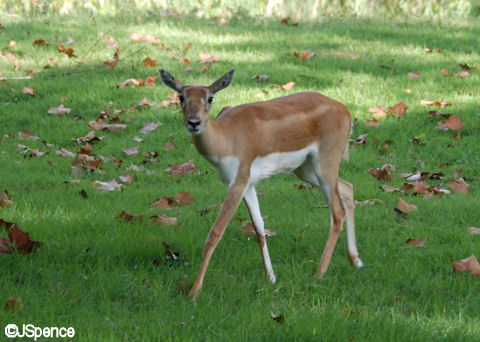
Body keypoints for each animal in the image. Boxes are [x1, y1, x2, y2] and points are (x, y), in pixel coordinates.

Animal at [159, 69, 362, 296]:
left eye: (210, 97)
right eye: (181, 97)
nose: (194, 122)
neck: (225, 140)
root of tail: (346, 111)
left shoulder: (237, 182)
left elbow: (215, 233)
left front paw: (194, 291)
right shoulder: (249, 184)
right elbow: (259, 228)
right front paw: (271, 277)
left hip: (325, 164)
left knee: (337, 211)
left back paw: (319, 273)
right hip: (305, 170)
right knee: (348, 188)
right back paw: (355, 260)